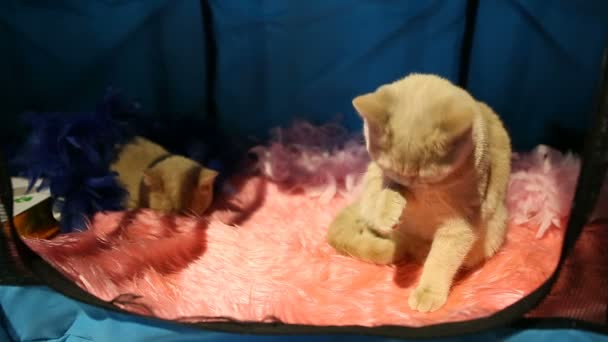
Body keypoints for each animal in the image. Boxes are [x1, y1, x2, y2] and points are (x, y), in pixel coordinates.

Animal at [326, 73, 510, 312]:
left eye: (424, 177)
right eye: (393, 172)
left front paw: (428, 293)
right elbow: (387, 194)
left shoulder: (460, 224)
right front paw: (389, 210)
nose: (410, 191)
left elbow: (441, 260)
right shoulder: (383, 177)